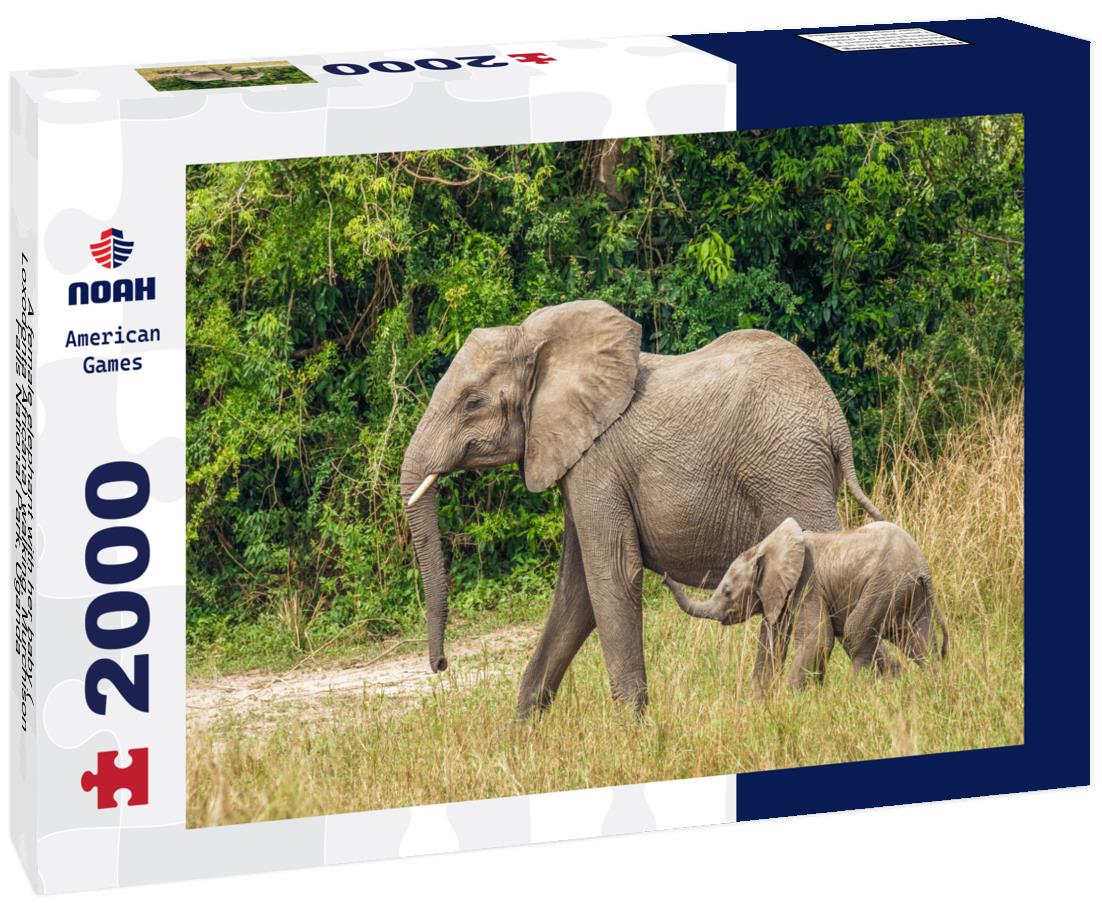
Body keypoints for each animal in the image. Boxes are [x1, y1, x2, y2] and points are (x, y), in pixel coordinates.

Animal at [400, 299, 883, 717]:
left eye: (472, 402)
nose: (440, 666)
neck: (540, 343)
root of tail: (833, 415)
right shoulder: (578, 466)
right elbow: (575, 590)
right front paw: (522, 733)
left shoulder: (597, 464)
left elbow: (611, 573)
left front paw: (632, 732)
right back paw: (766, 703)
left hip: (791, 471)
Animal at [663, 517, 948, 693]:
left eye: (727, 592)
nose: (664, 576)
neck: (765, 548)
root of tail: (923, 568)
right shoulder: (777, 594)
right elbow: (772, 644)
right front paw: (762, 704)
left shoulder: (808, 584)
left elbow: (817, 638)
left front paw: (794, 700)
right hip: (909, 594)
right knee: (918, 643)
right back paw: (933, 688)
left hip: (886, 584)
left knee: (856, 634)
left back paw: (855, 692)